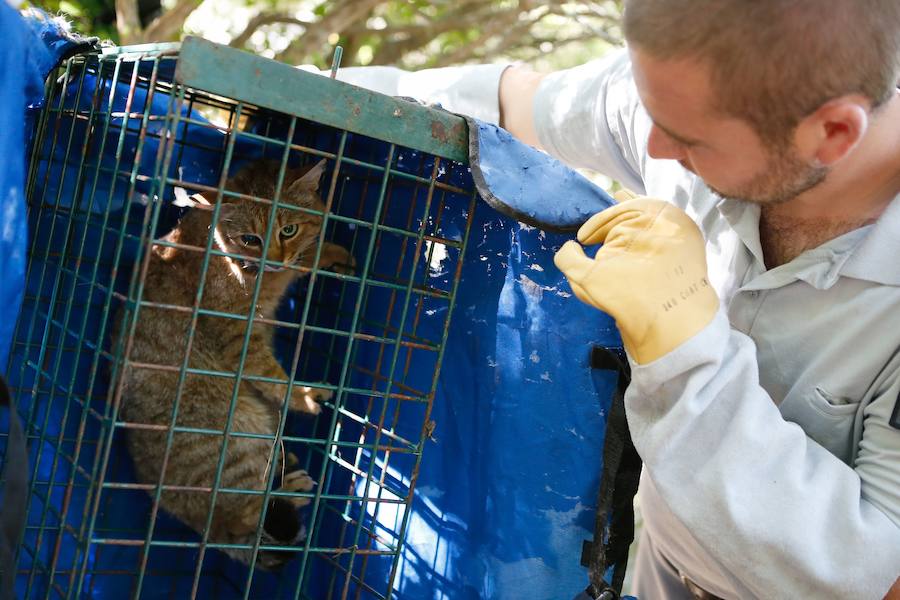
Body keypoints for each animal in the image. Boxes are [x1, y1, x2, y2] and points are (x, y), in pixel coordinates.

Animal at [116, 157, 348, 568]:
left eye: (288, 229)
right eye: (249, 239)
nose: (272, 259)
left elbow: (303, 257)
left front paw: (328, 252)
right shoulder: (238, 337)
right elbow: (272, 375)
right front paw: (304, 396)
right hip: (241, 437)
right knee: (244, 515)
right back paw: (288, 490)